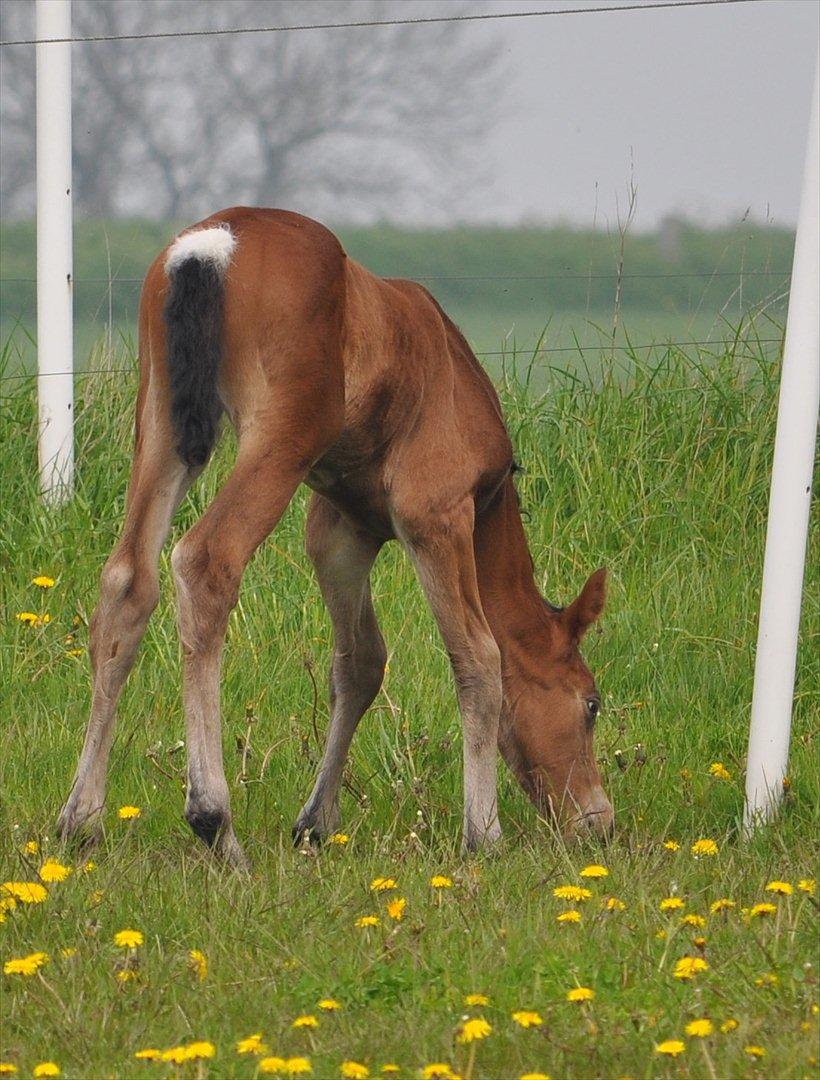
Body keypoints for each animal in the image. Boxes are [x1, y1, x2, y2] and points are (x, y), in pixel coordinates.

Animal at [57, 204, 613, 868]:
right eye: (590, 703)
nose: (598, 821)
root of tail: (210, 246)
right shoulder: (436, 514)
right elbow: (479, 655)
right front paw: (484, 833)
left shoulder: (341, 530)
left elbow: (361, 661)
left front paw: (316, 823)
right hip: (280, 439)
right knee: (204, 561)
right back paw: (216, 823)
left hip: (161, 424)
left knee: (127, 583)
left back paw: (81, 820)